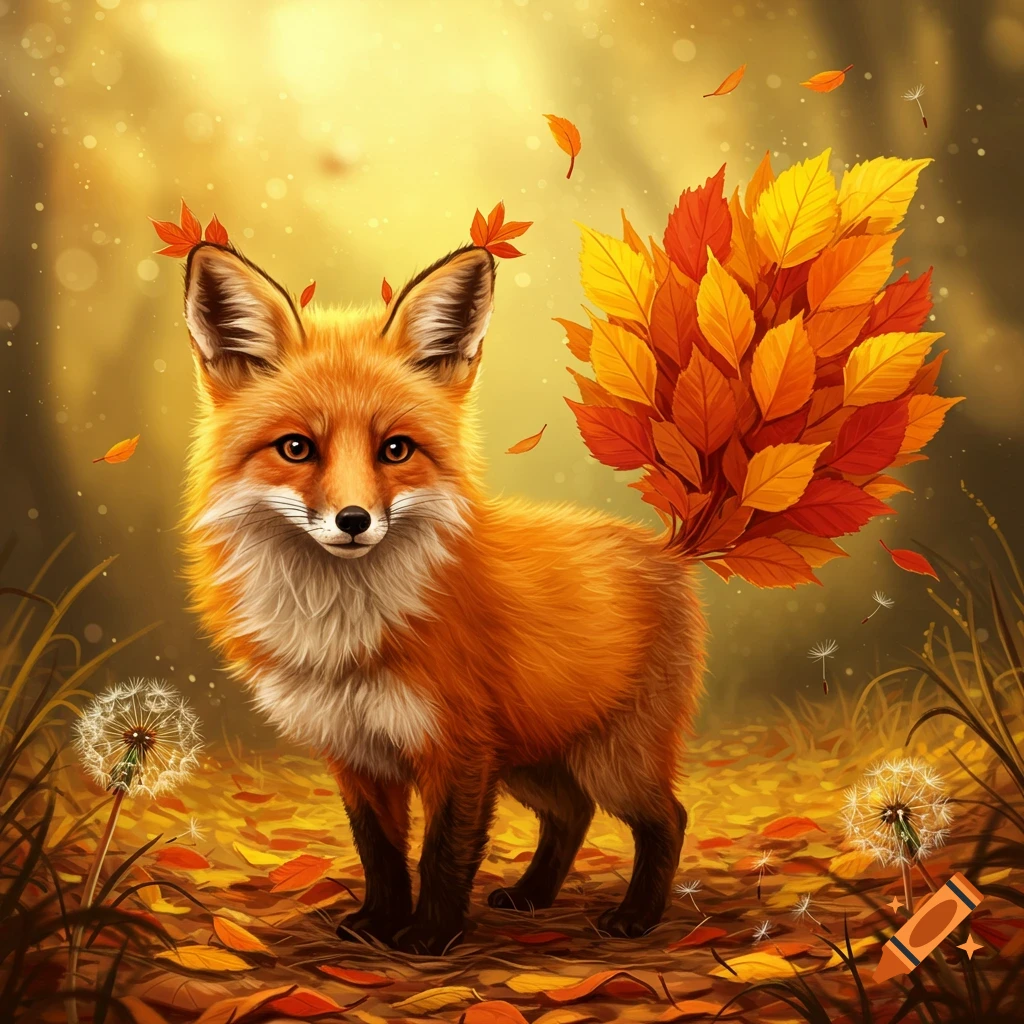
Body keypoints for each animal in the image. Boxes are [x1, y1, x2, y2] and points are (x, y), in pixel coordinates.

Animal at [181, 240, 706, 955]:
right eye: (296, 448)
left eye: (395, 449)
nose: (353, 520)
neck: (346, 631)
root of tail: (668, 549)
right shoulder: (357, 752)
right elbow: (378, 852)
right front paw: (379, 924)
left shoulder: (456, 747)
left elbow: (443, 853)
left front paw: (429, 937)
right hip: (531, 759)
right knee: (573, 813)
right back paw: (533, 896)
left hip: (607, 759)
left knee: (667, 818)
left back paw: (637, 916)